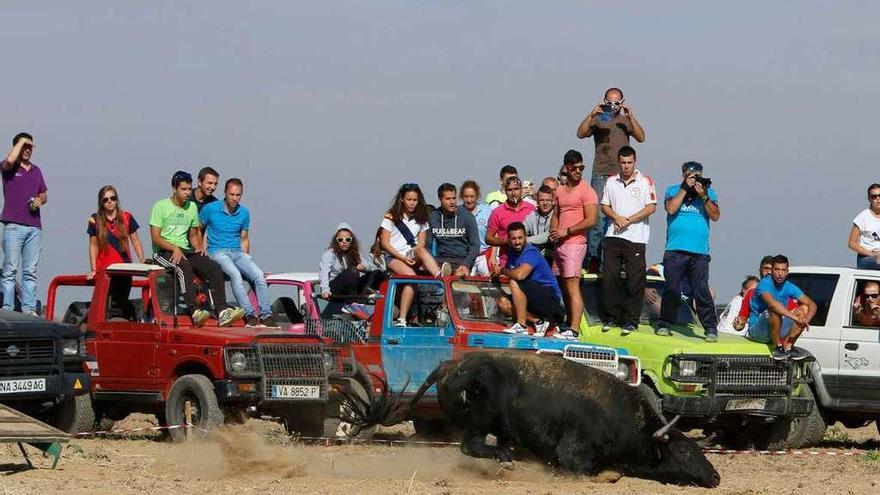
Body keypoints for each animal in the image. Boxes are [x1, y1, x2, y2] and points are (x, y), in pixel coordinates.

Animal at [340, 352, 720, 488]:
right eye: (684, 452)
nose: (715, 477)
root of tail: (451, 366)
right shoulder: (573, 455)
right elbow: (592, 471)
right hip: (478, 421)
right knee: (471, 446)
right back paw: (505, 461)